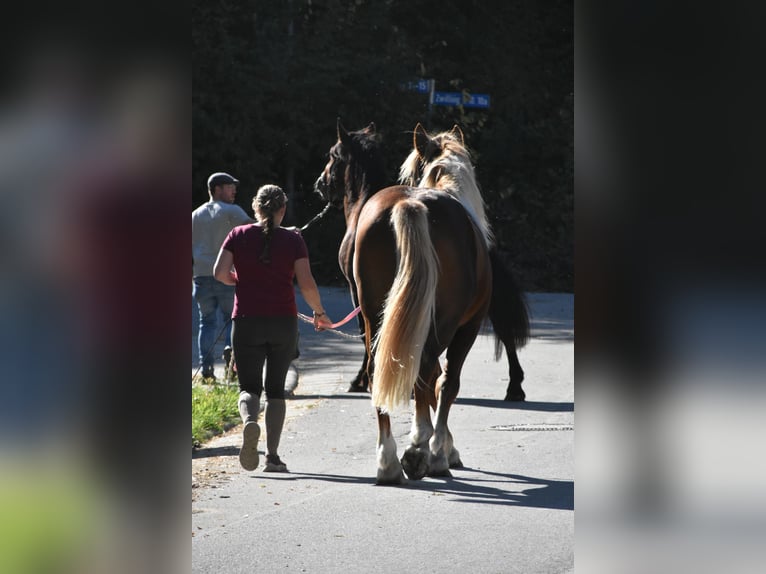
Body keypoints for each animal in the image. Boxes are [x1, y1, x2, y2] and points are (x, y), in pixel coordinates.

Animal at [314, 120, 492, 484]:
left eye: (333, 156)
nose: (320, 185)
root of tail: (408, 205)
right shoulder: (467, 326)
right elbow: (446, 383)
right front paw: (442, 449)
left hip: (376, 314)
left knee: (378, 369)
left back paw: (388, 461)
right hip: (441, 322)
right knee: (426, 371)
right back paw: (421, 448)